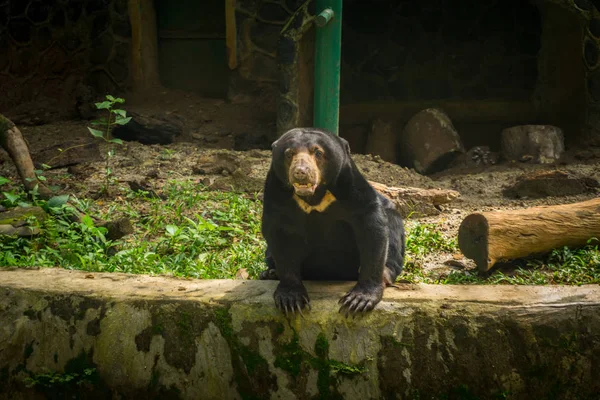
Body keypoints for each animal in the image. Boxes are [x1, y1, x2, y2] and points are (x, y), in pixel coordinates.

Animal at [260, 128, 406, 316]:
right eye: (289, 153)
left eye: (317, 152)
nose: (301, 172)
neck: (314, 195)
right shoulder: (275, 190)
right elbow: (278, 234)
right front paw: (291, 299)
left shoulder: (348, 182)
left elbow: (370, 222)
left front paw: (358, 301)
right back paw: (270, 273)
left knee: (393, 228)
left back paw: (386, 274)